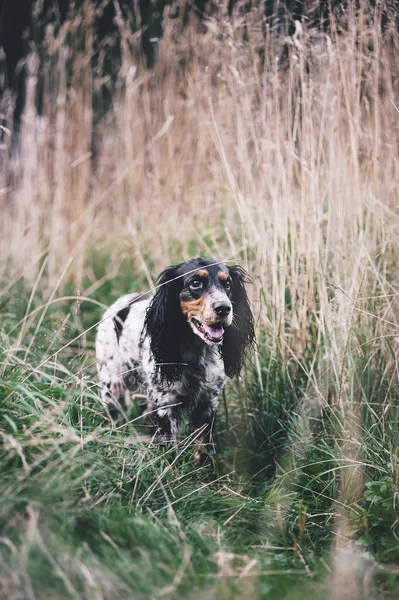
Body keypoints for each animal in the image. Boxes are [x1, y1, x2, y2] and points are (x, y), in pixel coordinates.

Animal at [95, 255, 255, 458]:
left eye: (227, 284)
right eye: (195, 283)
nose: (224, 308)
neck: (195, 352)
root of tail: (124, 300)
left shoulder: (207, 403)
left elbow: (203, 450)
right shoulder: (166, 406)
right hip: (112, 387)